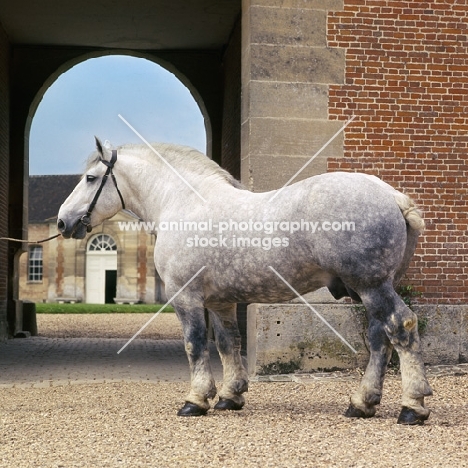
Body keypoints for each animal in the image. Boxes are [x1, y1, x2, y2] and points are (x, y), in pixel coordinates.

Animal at [57, 139, 432, 424]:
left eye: (90, 178)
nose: (62, 221)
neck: (183, 203)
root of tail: (392, 195)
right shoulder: (220, 302)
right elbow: (227, 344)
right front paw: (230, 395)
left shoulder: (186, 297)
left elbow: (194, 344)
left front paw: (195, 400)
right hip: (370, 289)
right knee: (381, 338)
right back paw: (362, 402)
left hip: (372, 286)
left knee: (401, 327)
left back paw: (412, 406)